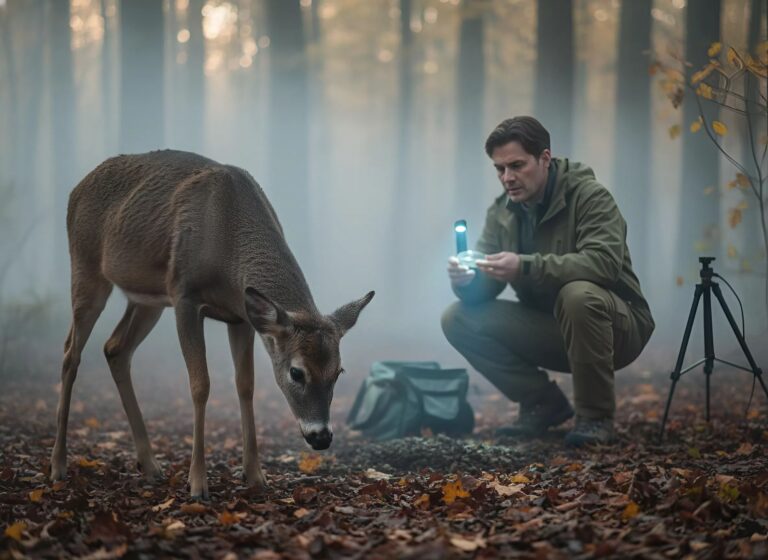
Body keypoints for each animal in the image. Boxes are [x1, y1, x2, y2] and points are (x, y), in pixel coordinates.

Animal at [49, 150, 374, 499]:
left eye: (338, 371)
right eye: (296, 372)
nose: (321, 437)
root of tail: (76, 189)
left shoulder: (242, 316)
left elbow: (245, 385)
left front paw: (255, 475)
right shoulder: (185, 296)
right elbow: (200, 385)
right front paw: (197, 483)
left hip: (148, 300)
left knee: (115, 348)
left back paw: (150, 465)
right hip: (86, 267)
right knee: (70, 353)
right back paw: (58, 466)